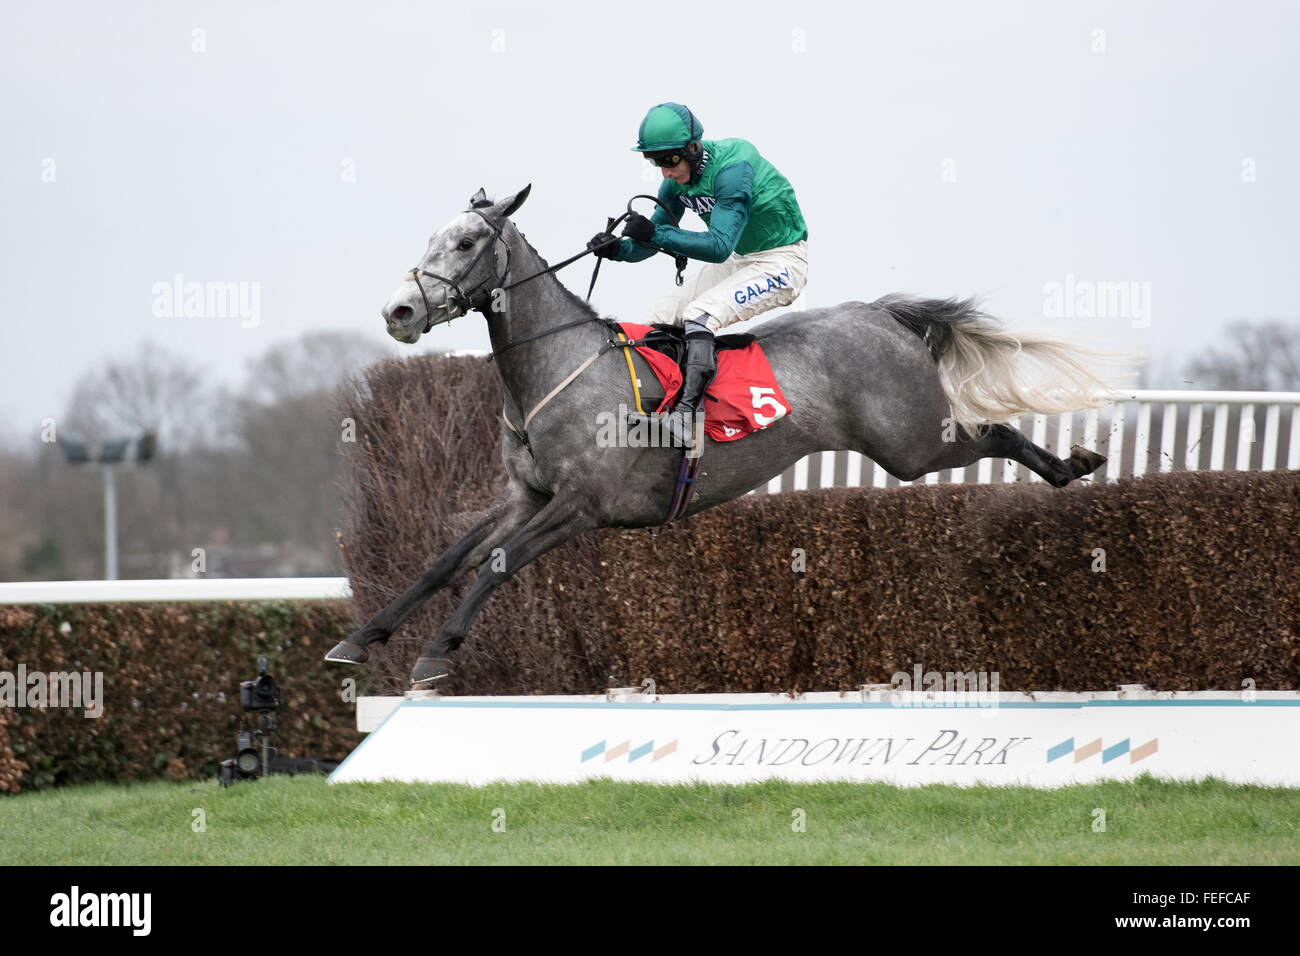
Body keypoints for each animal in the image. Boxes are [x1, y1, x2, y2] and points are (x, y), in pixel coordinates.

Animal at [325, 184, 1128, 681]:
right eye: (435, 238)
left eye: (465, 243)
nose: (399, 311)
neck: (556, 370)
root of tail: (881, 315)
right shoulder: (527, 497)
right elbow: (443, 561)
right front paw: (359, 640)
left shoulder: (583, 506)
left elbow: (495, 567)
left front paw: (435, 656)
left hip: (911, 445)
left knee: (992, 433)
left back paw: (1071, 466)